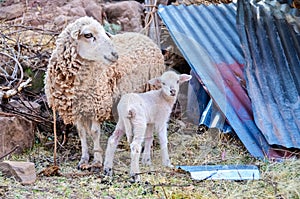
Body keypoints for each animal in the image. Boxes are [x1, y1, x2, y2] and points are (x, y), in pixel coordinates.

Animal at [44, 16, 165, 170]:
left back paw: (146, 153)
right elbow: (82, 133)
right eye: (88, 35)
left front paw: (97, 160)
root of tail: (145, 37)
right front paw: (83, 159)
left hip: (150, 90)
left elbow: (95, 133)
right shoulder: (76, 109)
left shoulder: (97, 105)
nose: (115, 54)